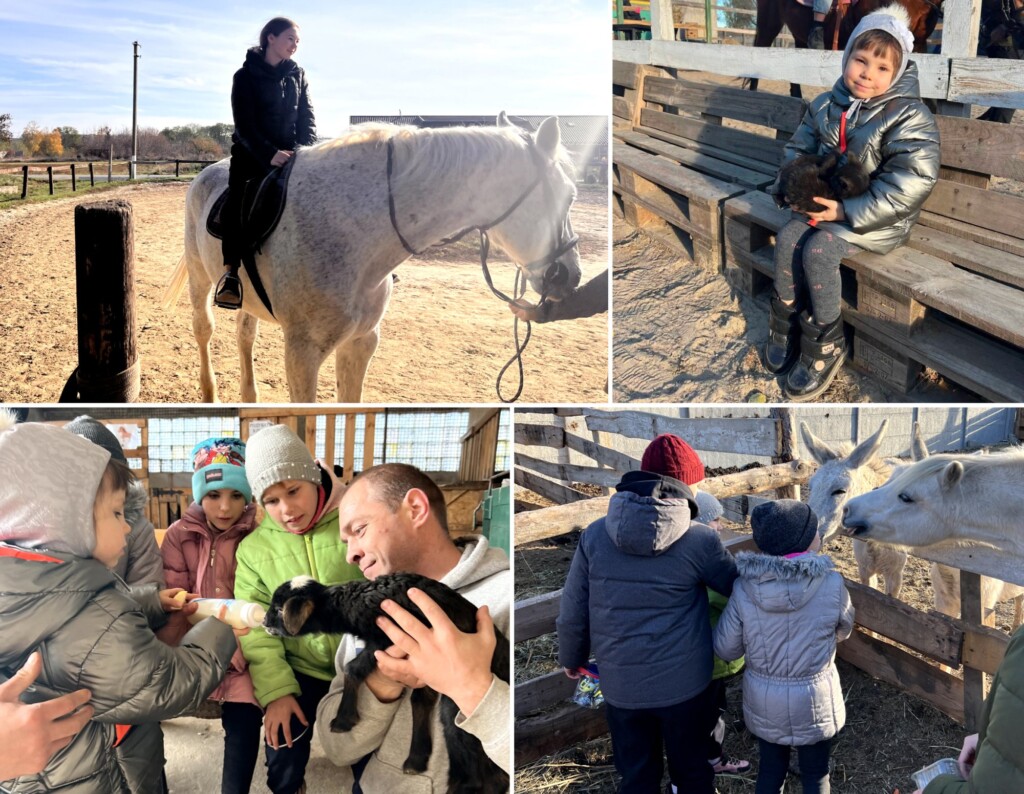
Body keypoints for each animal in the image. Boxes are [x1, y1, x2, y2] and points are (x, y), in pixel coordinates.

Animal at [163, 111, 581, 403]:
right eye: (568, 195)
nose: (569, 277)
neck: (356, 230)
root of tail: (208, 174)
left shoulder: (361, 342)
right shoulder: (302, 353)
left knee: (245, 335)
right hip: (200, 277)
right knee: (204, 329)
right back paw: (210, 394)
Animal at [260, 569, 507, 794]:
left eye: (279, 608)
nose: (263, 621)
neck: (350, 603)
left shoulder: (386, 637)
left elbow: (352, 668)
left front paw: (342, 720)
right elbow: (421, 697)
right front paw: (418, 756)